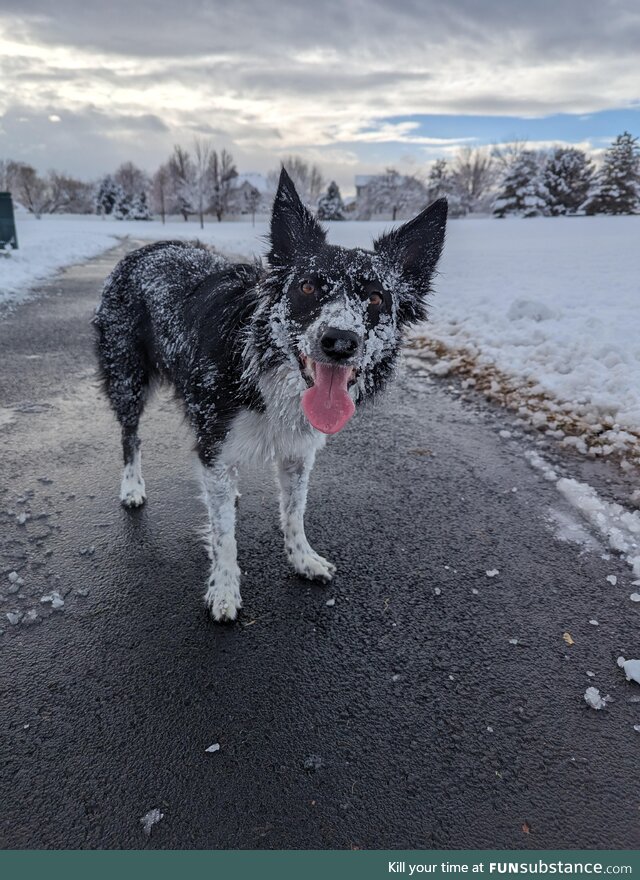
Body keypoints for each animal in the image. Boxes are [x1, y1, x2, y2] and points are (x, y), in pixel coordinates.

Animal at [96, 172, 444, 624]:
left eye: (375, 297)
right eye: (308, 286)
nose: (340, 341)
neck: (270, 371)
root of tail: (144, 249)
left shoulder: (298, 451)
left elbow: (294, 511)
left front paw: (302, 559)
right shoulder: (215, 438)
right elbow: (224, 535)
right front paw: (224, 589)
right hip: (127, 376)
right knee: (130, 435)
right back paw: (132, 486)